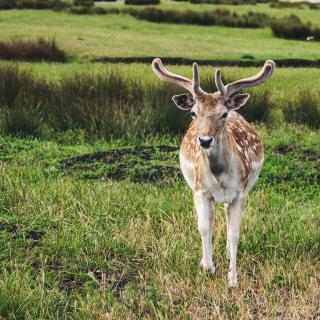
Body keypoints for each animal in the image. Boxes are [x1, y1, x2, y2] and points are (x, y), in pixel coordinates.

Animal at [152, 58, 276, 288]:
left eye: (223, 114)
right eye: (193, 113)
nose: (204, 140)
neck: (219, 176)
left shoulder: (240, 193)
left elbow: (234, 233)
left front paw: (232, 279)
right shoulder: (200, 191)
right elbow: (203, 227)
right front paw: (208, 267)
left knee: (225, 217)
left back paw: (226, 253)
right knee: (209, 218)